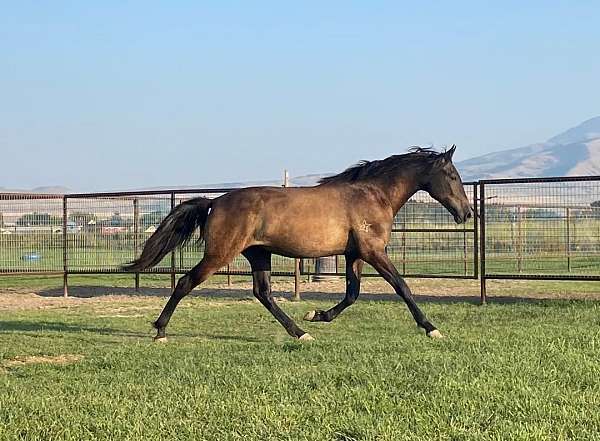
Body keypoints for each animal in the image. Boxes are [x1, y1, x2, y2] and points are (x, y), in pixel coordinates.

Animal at [124, 144, 474, 340]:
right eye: (453, 175)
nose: (467, 213)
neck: (373, 194)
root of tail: (216, 201)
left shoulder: (355, 255)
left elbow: (352, 294)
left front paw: (316, 316)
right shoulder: (373, 251)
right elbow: (402, 286)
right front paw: (431, 328)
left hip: (258, 254)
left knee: (263, 293)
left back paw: (300, 332)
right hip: (221, 254)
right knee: (185, 282)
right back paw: (160, 331)